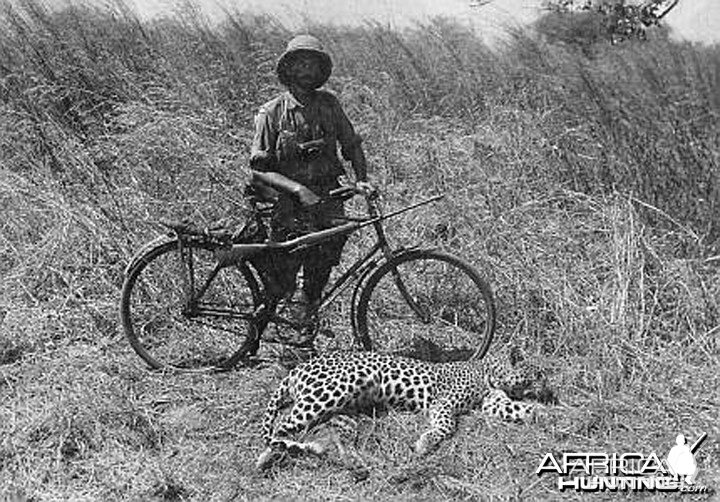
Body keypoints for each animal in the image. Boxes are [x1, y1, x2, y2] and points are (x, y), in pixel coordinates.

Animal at [256, 350, 556, 470]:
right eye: (538, 374)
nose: (550, 388)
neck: (489, 374)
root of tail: (297, 367)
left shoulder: (494, 402)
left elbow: (517, 408)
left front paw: (542, 414)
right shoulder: (443, 402)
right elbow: (446, 426)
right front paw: (424, 444)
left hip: (344, 413)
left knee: (323, 433)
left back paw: (346, 459)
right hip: (342, 384)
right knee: (282, 426)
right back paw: (268, 459)